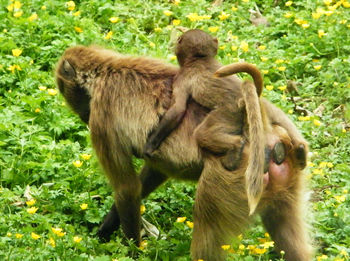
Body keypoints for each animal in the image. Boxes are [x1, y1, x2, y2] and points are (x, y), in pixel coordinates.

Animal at [55, 45, 312, 258]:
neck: (106, 69)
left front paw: (129, 250)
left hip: (228, 180)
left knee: (206, 236)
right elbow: (152, 172)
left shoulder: (101, 116)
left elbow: (126, 188)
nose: (83, 117)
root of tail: (264, 137)